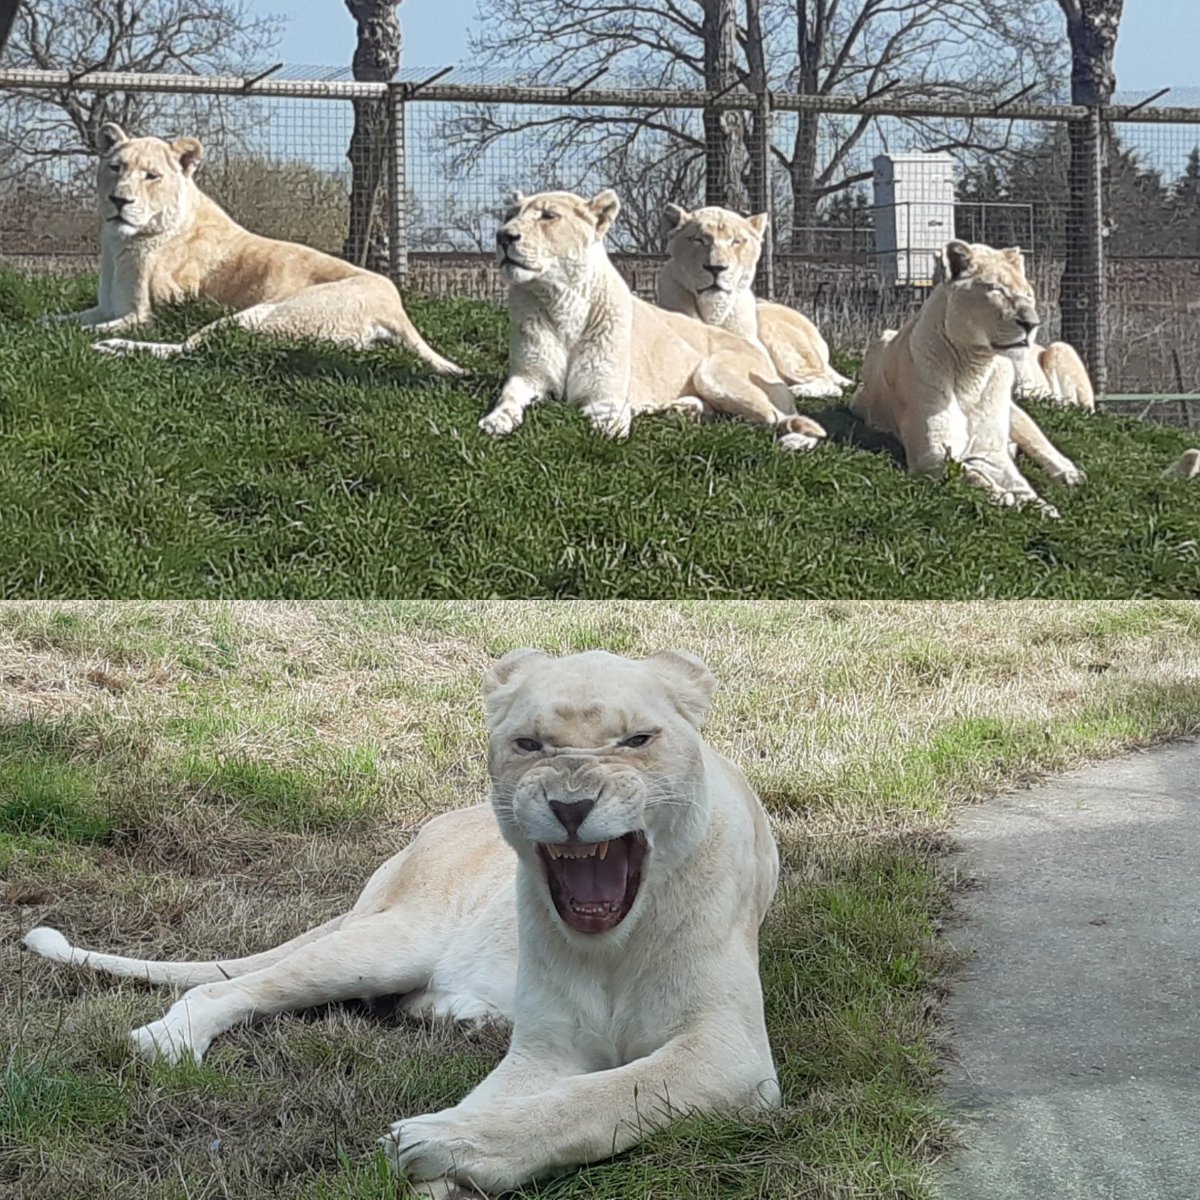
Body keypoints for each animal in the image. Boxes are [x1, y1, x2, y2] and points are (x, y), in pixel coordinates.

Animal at [23, 648, 782, 1200]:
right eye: (529, 744)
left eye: (637, 739)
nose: (571, 804)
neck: (612, 947)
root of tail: (421, 833)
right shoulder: (547, 1048)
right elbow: (544, 1098)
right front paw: (441, 1153)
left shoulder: (731, 1053)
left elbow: (606, 1095)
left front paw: (441, 1145)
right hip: (391, 941)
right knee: (226, 988)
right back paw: (168, 1042)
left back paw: (463, 1018)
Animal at [46, 123, 461, 373]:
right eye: (115, 167)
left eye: (151, 176)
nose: (119, 200)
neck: (121, 242)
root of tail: (395, 305)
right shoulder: (106, 306)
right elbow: (53, 319)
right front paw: (47, 323)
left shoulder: (145, 315)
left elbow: (80, 328)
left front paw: (81, 336)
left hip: (257, 314)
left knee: (187, 348)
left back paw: (111, 346)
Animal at [480, 189, 826, 451]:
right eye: (510, 215)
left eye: (548, 216)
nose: (502, 236)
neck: (560, 300)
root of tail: (755, 347)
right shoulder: (528, 377)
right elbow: (508, 399)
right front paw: (495, 421)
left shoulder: (607, 400)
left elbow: (604, 429)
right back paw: (685, 409)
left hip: (712, 372)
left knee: (784, 419)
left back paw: (793, 441)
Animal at [657, 204, 851, 399]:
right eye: (698, 240)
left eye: (736, 242)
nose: (716, 268)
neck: (713, 309)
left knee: (829, 383)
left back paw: (798, 390)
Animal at [850, 240, 1086, 515]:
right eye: (997, 290)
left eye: (1029, 295)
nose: (1032, 324)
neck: (974, 369)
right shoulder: (930, 454)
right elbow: (968, 472)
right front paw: (1001, 496)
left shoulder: (990, 452)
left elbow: (1020, 482)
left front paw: (1039, 505)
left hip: (1019, 413)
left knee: (1041, 445)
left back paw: (1071, 473)